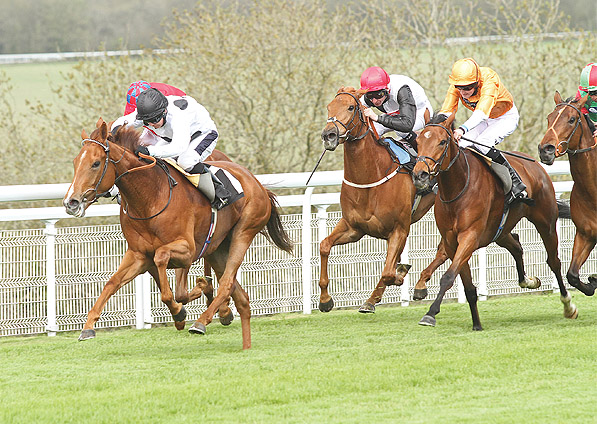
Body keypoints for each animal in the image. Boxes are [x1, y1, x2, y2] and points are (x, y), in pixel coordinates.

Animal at [62, 118, 292, 348]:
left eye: (95, 163)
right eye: (75, 162)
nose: (71, 202)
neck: (150, 197)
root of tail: (257, 183)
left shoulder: (187, 249)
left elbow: (162, 261)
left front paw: (182, 310)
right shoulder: (139, 255)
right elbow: (112, 283)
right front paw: (88, 327)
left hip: (243, 233)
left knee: (227, 283)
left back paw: (201, 322)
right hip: (216, 248)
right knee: (241, 296)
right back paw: (239, 336)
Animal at [318, 87, 444, 312]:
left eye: (351, 107)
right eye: (329, 107)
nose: (328, 135)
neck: (370, 178)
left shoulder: (400, 229)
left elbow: (388, 271)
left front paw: (398, 276)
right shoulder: (353, 228)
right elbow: (324, 246)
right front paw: (325, 299)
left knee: (444, 249)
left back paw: (420, 284)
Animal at [412, 111, 576, 330]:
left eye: (442, 142)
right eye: (418, 141)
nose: (419, 175)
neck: (457, 188)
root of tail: (535, 164)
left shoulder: (470, 237)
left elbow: (448, 277)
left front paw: (430, 314)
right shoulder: (452, 241)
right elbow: (467, 285)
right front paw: (477, 324)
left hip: (546, 223)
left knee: (554, 261)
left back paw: (568, 305)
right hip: (499, 231)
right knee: (517, 246)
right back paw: (528, 281)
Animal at [536, 91, 596, 294]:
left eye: (571, 119)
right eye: (549, 118)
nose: (545, 150)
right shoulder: (585, 234)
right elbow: (572, 275)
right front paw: (592, 282)